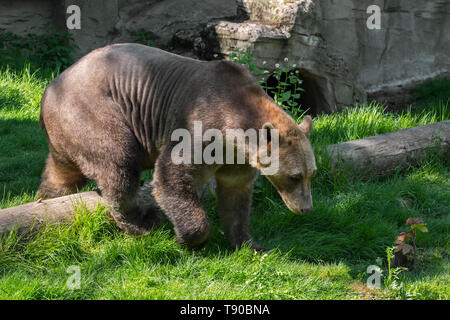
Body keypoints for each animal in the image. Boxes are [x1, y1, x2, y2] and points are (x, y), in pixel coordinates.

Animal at [37, 43, 316, 250]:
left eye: (311, 174)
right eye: (294, 176)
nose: (306, 208)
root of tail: (49, 89)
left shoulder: (237, 158)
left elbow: (235, 196)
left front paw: (250, 244)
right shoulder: (203, 125)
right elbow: (172, 175)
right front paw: (187, 237)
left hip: (66, 132)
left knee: (61, 174)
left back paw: (45, 199)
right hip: (93, 112)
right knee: (118, 163)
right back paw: (140, 223)